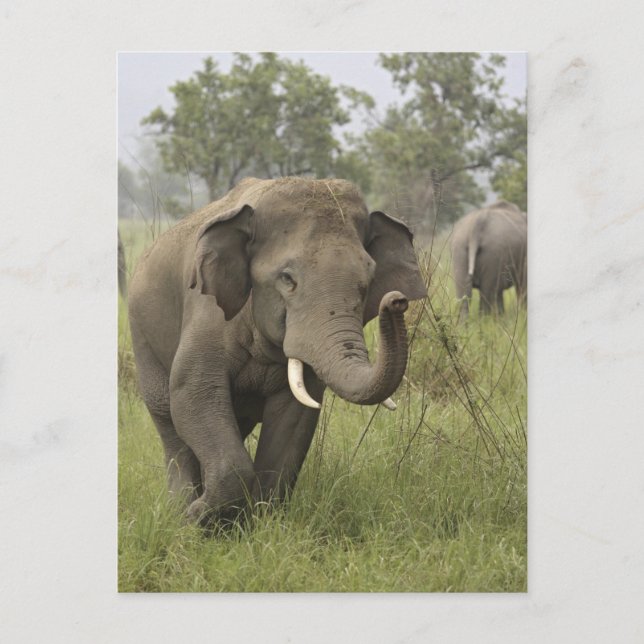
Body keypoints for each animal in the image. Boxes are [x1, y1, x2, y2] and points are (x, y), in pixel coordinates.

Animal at [128, 177, 427, 523]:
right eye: (287, 279)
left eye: (368, 281)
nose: (397, 300)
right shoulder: (206, 314)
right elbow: (193, 393)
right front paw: (196, 520)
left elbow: (294, 417)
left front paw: (257, 522)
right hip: (142, 336)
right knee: (169, 421)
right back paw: (179, 510)